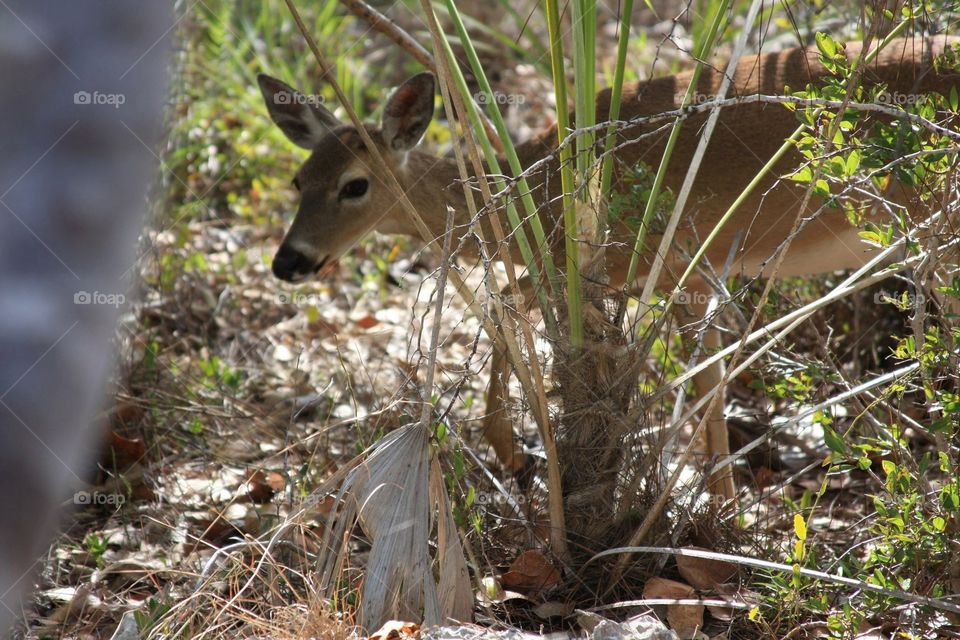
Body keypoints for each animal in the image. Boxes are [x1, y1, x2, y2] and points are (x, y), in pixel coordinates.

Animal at [258, 35, 960, 500]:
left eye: (355, 185)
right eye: (297, 180)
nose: (288, 261)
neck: (536, 192)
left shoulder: (666, 259)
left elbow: (701, 383)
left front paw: (721, 516)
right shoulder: (639, 273)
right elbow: (514, 303)